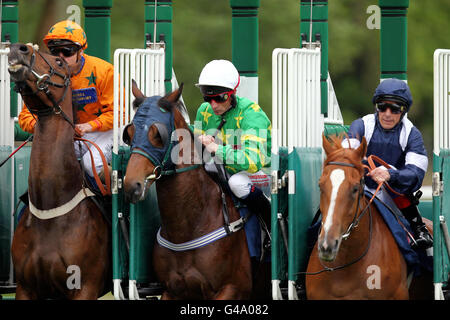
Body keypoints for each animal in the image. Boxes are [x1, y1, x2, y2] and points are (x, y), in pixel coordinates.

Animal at [122, 82, 268, 300]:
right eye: (129, 133)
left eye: (158, 134)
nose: (132, 185)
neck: (187, 229)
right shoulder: (171, 290)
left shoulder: (233, 288)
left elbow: (252, 153)